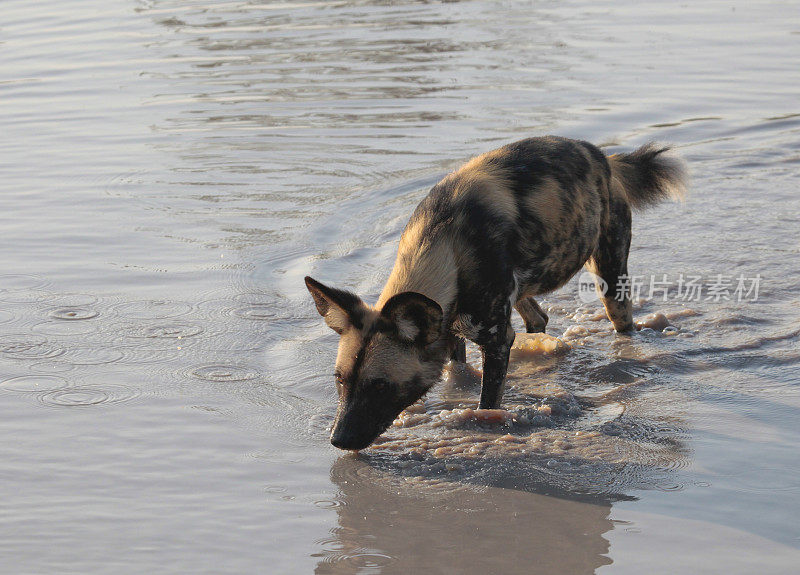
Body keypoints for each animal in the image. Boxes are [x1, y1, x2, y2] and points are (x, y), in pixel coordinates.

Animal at [304, 135, 684, 450]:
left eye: (380, 386)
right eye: (340, 380)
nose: (338, 440)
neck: (445, 245)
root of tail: (600, 156)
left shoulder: (497, 340)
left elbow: (487, 402)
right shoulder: (452, 328)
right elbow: (457, 370)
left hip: (609, 277)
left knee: (621, 321)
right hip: (523, 290)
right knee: (539, 317)